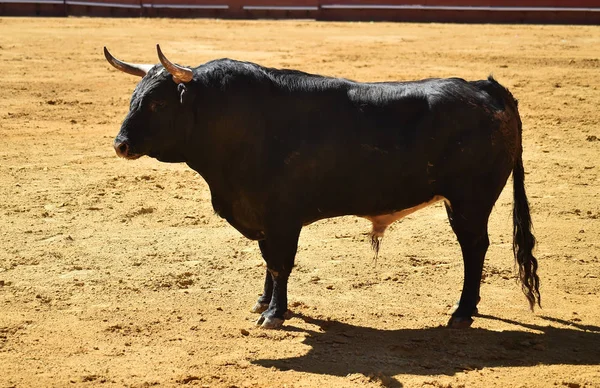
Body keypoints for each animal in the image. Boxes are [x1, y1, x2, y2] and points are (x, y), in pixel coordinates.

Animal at [105, 46, 540, 330]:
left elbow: (280, 263)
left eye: (158, 104)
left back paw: (462, 311)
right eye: (133, 98)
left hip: (470, 201)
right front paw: (263, 302)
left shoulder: (282, 218)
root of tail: (485, 87)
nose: (120, 145)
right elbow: (268, 262)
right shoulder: (263, 218)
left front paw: (275, 314)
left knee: (474, 248)